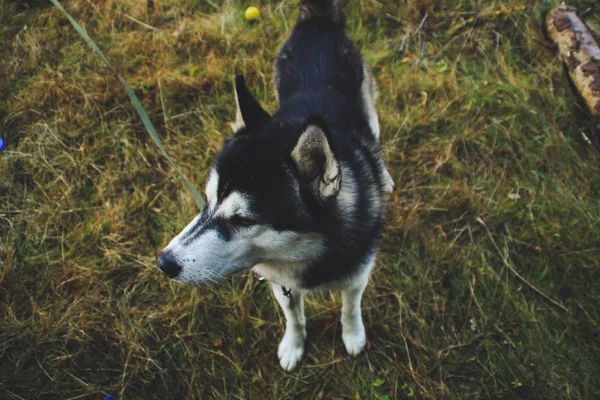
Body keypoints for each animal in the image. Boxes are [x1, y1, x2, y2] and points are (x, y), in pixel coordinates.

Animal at [158, 0, 394, 372]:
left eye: (242, 219)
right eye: (206, 202)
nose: (164, 262)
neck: (309, 252)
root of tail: (318, 22)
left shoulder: (358, 275)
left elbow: (350, 307)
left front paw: (353, 335)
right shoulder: (282, 284)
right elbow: (294, 317)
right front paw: (294, 345)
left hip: (368, 106)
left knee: (373, 136)